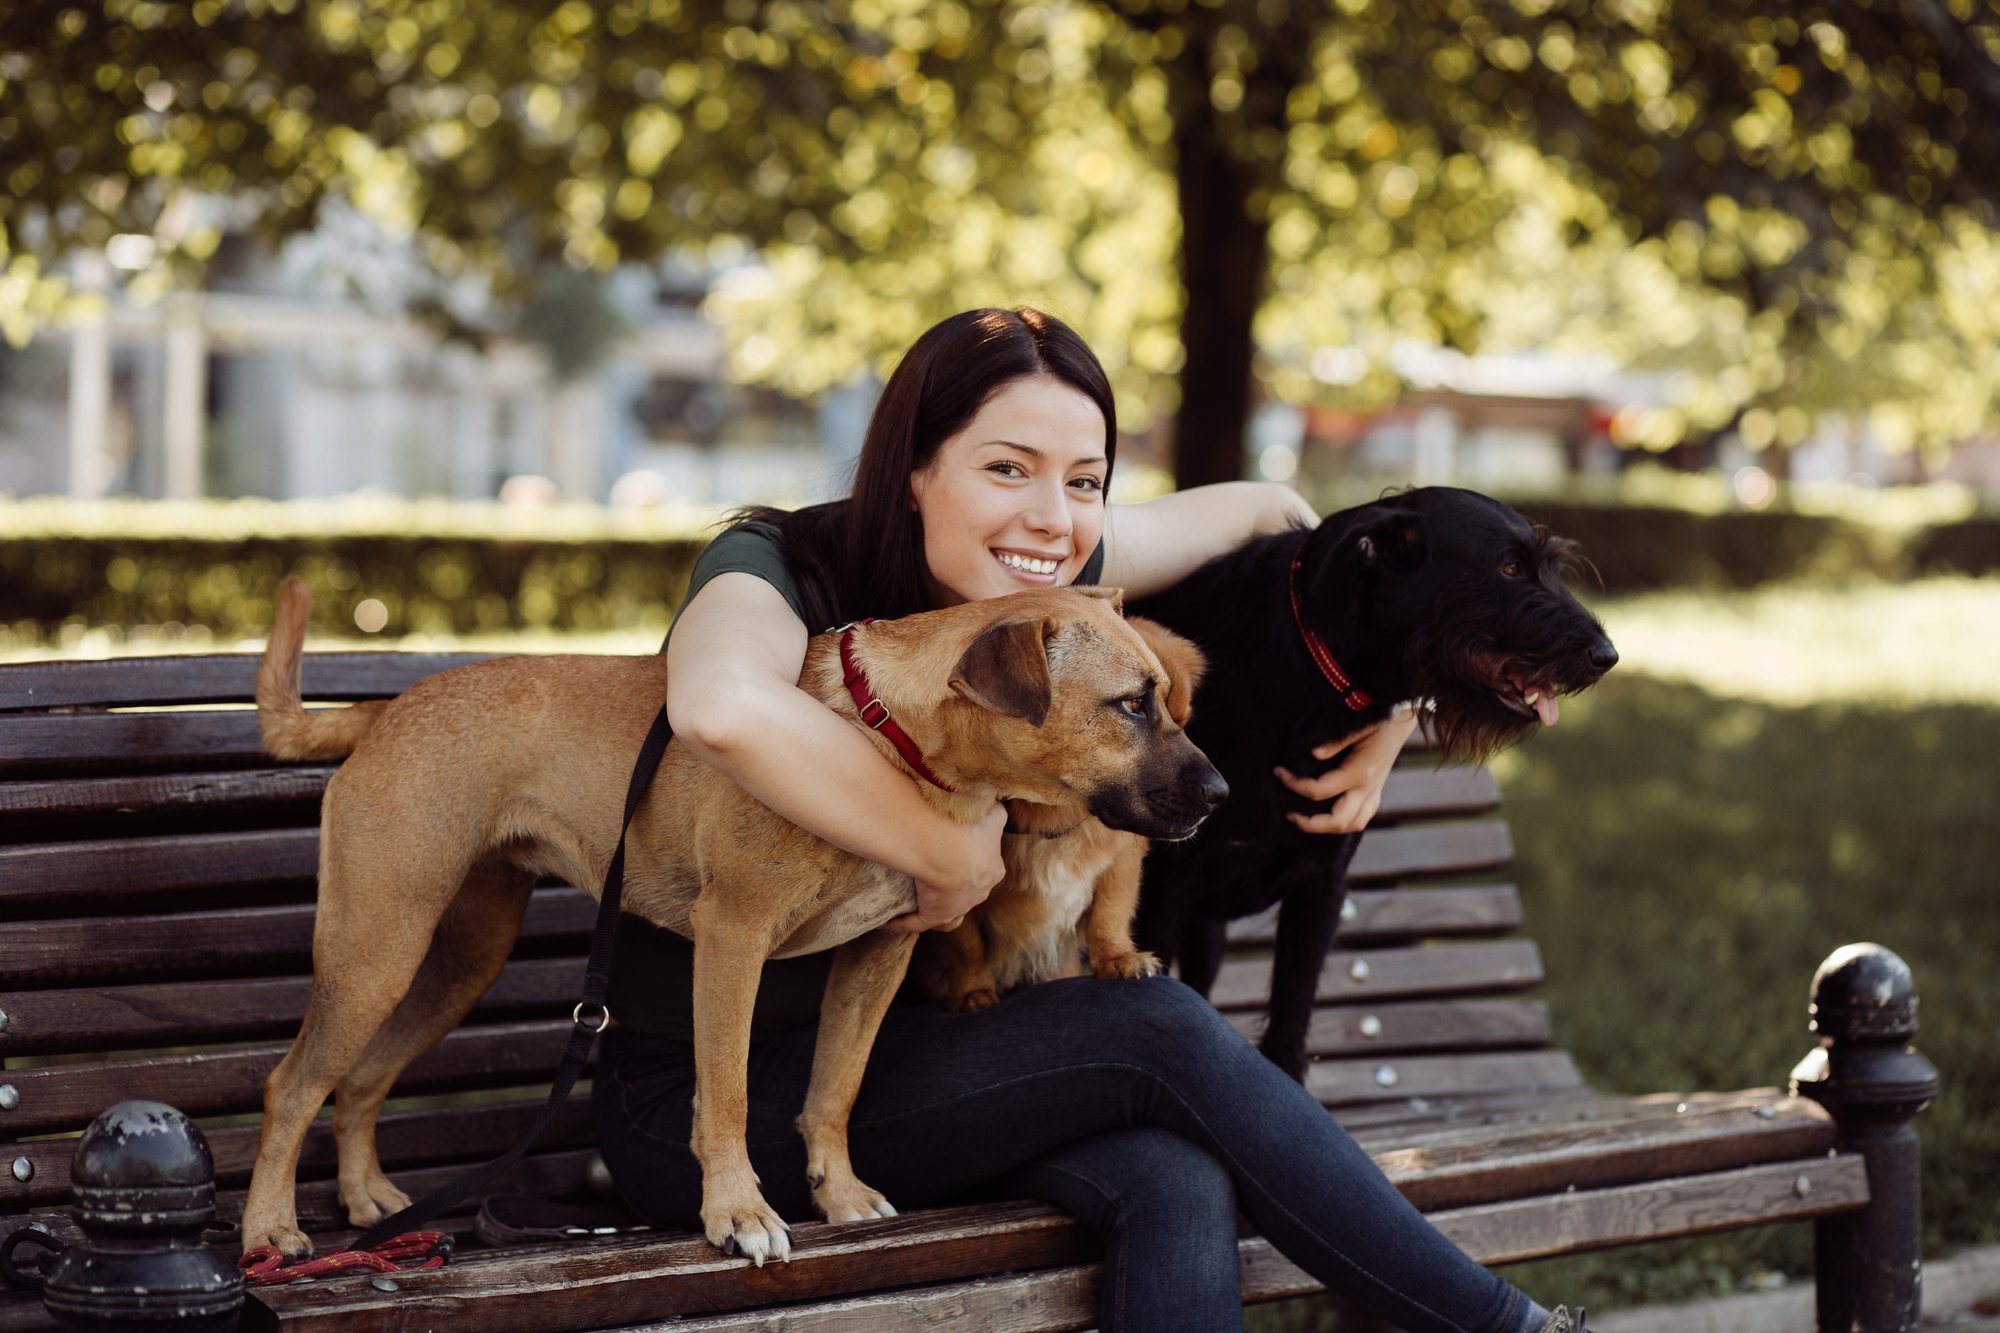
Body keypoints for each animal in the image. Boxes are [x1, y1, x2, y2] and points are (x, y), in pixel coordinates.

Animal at [916, 620, 1208, 1008]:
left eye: (1184, 725)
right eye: (1135, 707)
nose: (1218, 793)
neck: (1057, 814)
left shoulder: (1121, 863)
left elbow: (1110, 913)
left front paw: (1119, 958)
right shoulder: (958, 888)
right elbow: (966, 946)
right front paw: (973, 991)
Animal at [1136, 482, 1616, 1072]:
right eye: (1509, 567)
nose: (1606, 656)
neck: (1315, 673)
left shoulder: (1321, 886)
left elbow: (1289, 1022)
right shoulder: (1165, 888)